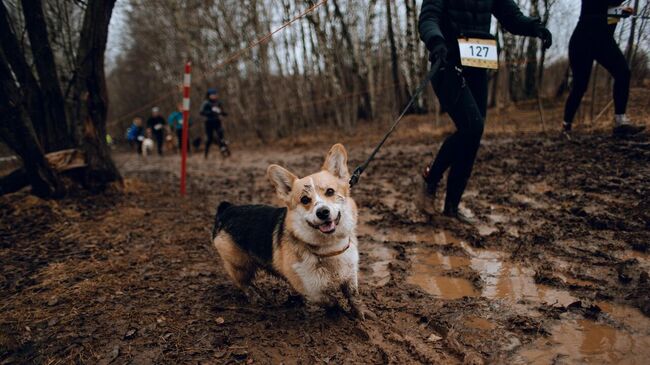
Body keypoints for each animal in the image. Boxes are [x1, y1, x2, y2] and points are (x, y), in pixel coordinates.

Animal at [210, 144, 368, 318]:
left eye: (330, 191)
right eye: (305, 200)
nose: (322, 212)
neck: (330, 248)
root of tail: (227, 209)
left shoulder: (350, 276)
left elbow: (353, 296)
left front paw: (361, 314)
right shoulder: (310, 289)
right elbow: (330, 301)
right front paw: (340, 313)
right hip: (240, 265)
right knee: (243, 283)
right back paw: (256, 296)